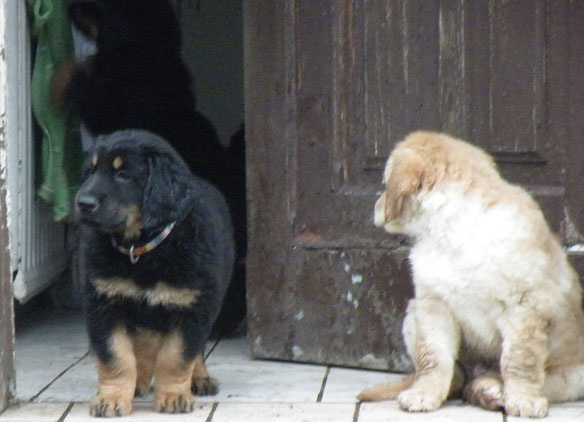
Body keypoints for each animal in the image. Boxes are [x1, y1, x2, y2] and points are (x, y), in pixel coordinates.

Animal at [75, 130, 233, 418]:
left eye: (122, 174)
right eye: (90, 171)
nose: (83, 203)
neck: (141, 249)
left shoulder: (191, 305)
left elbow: (177, 356)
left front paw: (173, 396)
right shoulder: (103, 303)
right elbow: (116, 356)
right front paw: (112, 398)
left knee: (196, 347)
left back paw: (199, 378)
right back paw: (140, 380)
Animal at [358, 132, 584, 418]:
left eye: (386, 185)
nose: (375, 207)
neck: (453, 228)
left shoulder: (524, 308)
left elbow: (519, 360)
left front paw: (524, 400)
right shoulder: (433, 305)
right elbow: (433, 358)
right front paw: (425, 393)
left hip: (574, 375)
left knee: (503, 377)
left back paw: (489, 390)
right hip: (412, 313)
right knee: (458, 379)